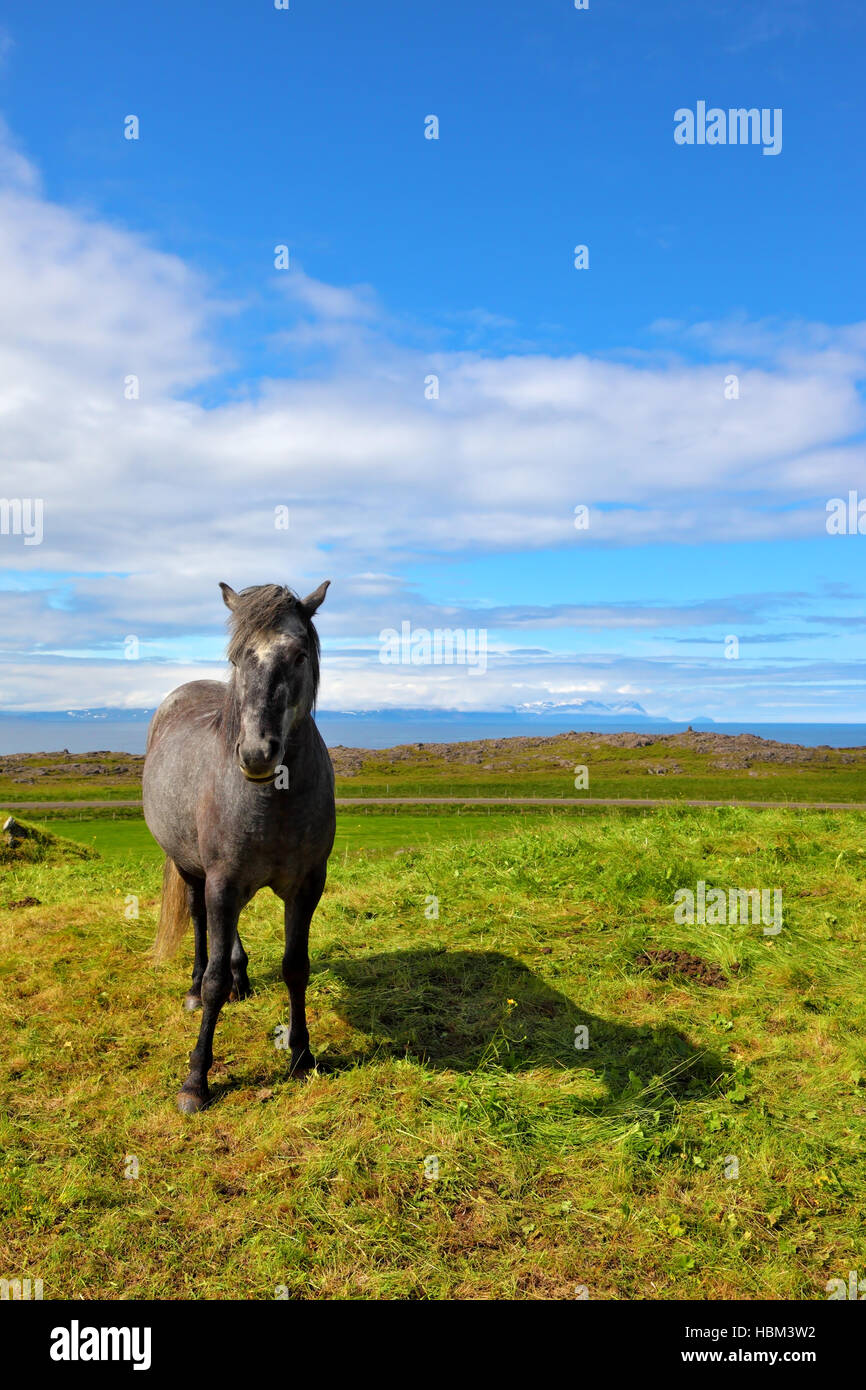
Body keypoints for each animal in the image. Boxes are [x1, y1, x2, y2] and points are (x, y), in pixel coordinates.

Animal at [142, 581, 335, 1112]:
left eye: (299, 654)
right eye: (236, 657)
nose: (255, 754)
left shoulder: (306, 888)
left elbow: (296, 967)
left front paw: (301, 1056)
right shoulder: (222, 882)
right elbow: (213, 982)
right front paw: (195, 1081)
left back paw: (241, 978)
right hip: (193, 871)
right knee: (200, 922)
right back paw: (195, 986)